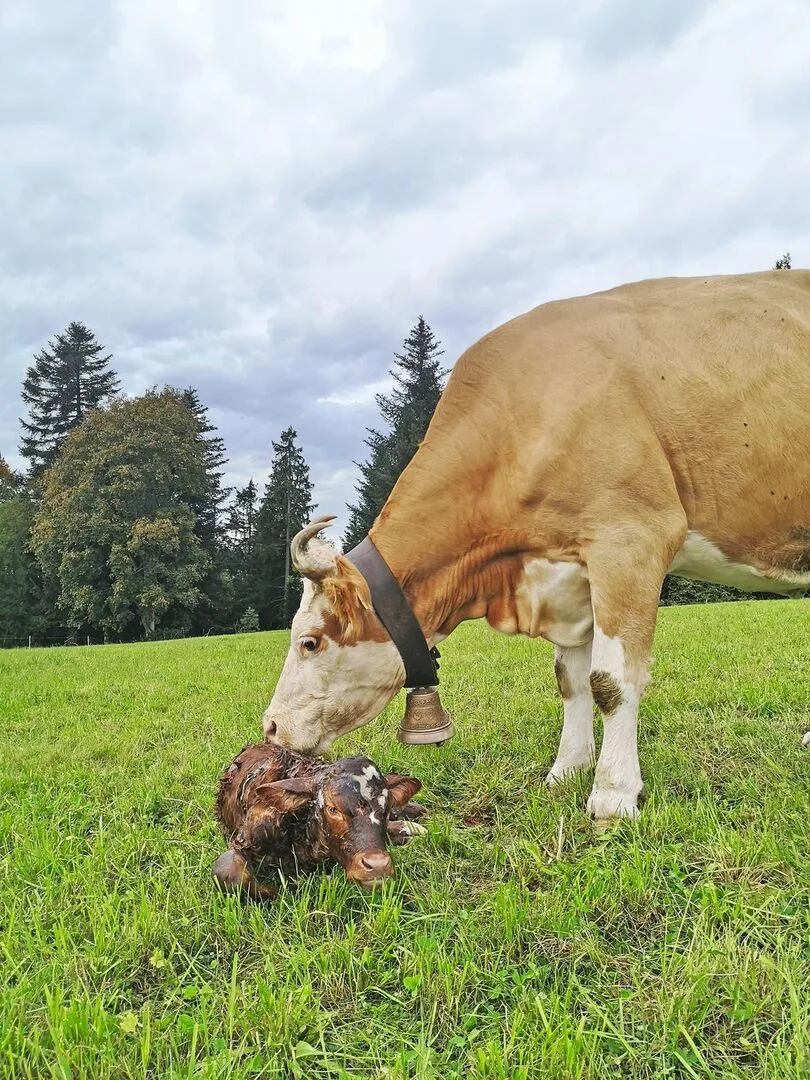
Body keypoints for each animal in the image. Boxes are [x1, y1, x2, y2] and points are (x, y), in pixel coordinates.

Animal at [262, 270, 810, 822]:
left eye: (309, 641)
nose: (270, 726)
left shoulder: (631, 540)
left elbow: (611, 682)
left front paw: (613, 795)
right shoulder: (568, 574)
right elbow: (570, 678)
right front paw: (566, 772)